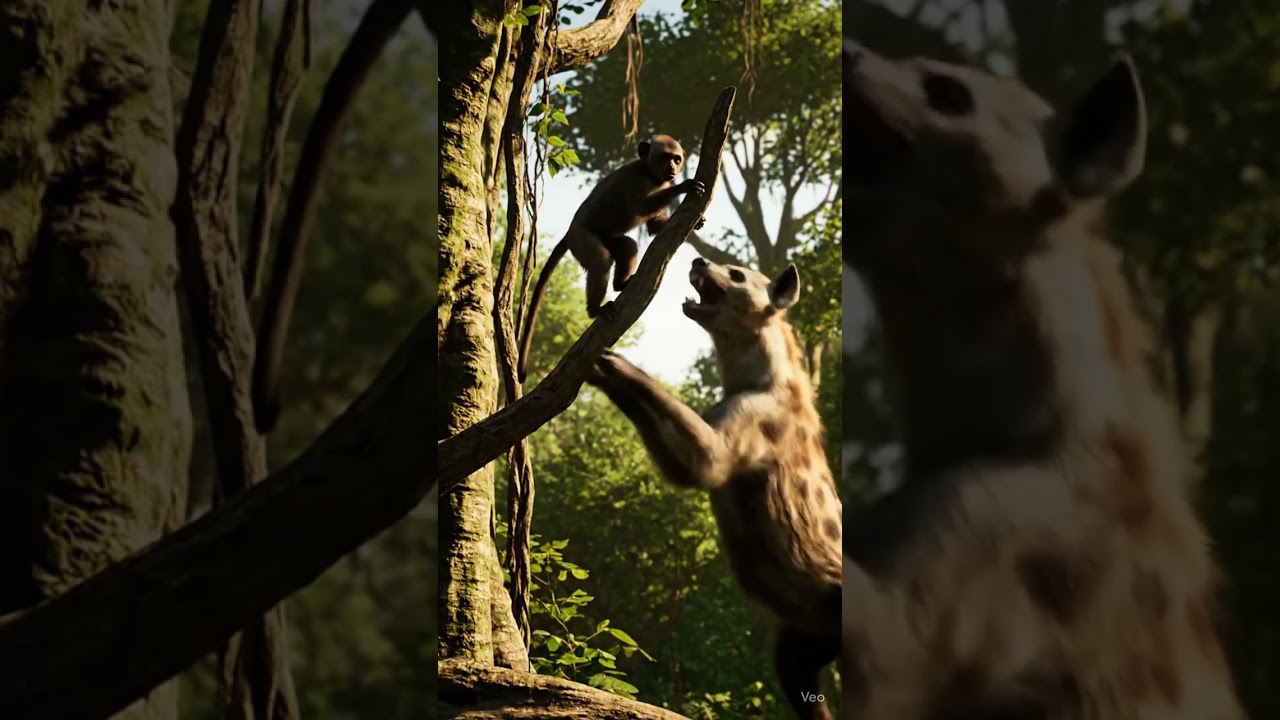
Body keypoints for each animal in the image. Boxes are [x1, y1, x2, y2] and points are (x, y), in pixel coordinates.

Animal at [515, 134, 705, 382]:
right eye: (666, 157)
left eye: (676, 158)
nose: (673, 168)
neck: (650, 172)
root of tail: (568, 234)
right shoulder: (636, 179)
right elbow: (640, 205)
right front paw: (684, 186)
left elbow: (653, 226)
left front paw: (699, 221)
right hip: (580, 238)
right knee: (601, 260)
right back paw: (596, 310)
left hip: (607, 237)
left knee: (628, 246)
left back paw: (620, 284)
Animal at [587, 258, 842, 720]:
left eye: (738, 273)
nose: (698, 260)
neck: (751, 381)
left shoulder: (741, 437)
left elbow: (702, 460)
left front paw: (613, 362)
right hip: (807, 636)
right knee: (796, 673)